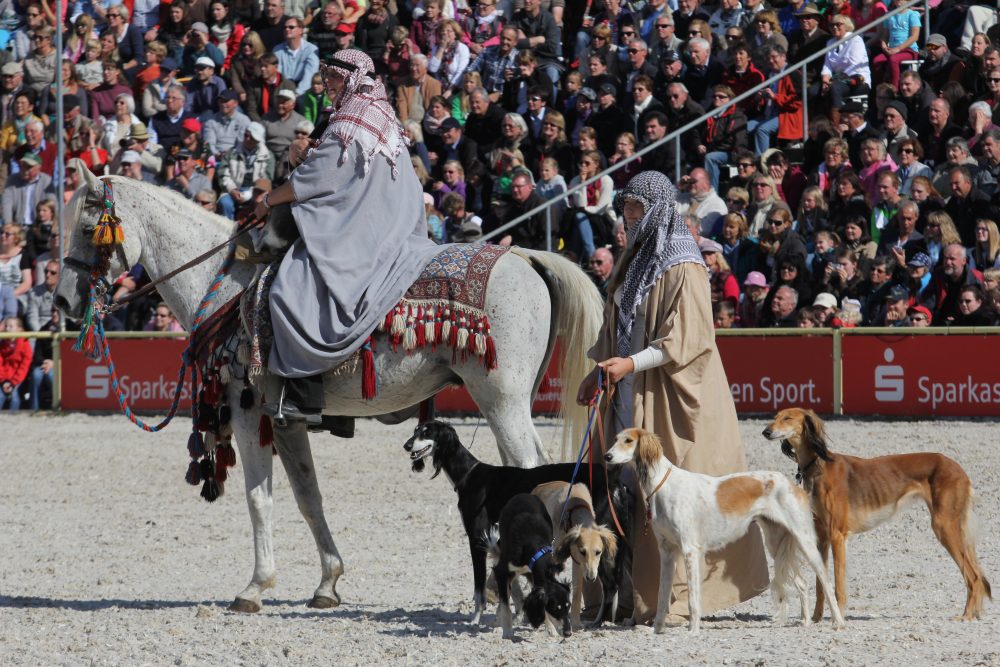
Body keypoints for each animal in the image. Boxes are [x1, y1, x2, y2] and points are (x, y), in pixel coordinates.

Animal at [56, 170, 600, 612]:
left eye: (85, 229)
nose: (61, 299)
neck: (227, 285)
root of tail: (526, 256)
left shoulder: (248, 409)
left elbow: (259, 497)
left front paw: (255, 586)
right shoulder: (286, 419)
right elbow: (307, 496)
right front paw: (328, 582)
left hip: (501, 401)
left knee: (528, 470)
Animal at [486, 494, 572, 640]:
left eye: (568, 606)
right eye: (556, 608)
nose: (568, 633)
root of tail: (523, 495)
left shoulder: (535, 574)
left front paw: (551, 629)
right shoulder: (501, 572)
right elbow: (506, 606)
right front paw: (507, 631)